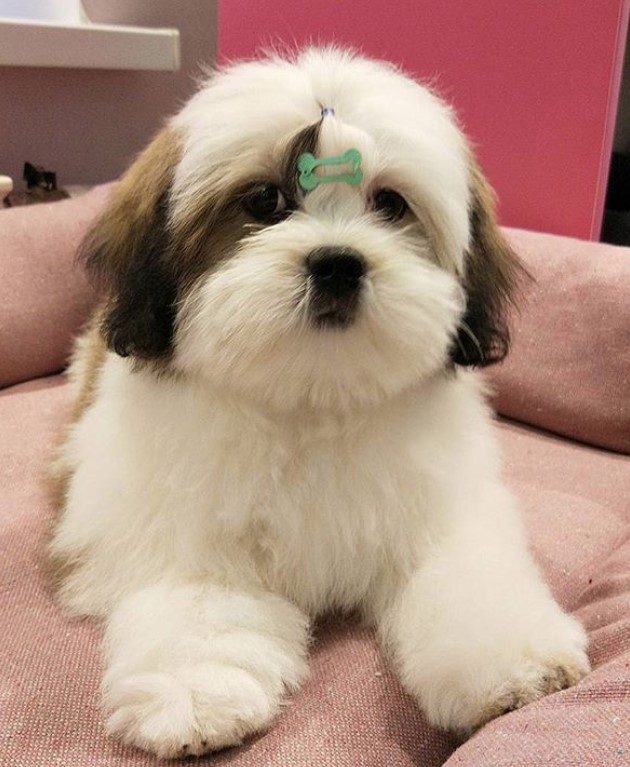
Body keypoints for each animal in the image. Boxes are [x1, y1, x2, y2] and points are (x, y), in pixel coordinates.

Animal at [50, 49, 592, 760]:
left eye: (390, 203)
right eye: (264, 200)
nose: (338, 262)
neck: (313, 398)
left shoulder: (442, 508)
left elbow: (465, 569)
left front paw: (516, 663)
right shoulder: (177, 527)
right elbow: (200, 599)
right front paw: (198, 692)